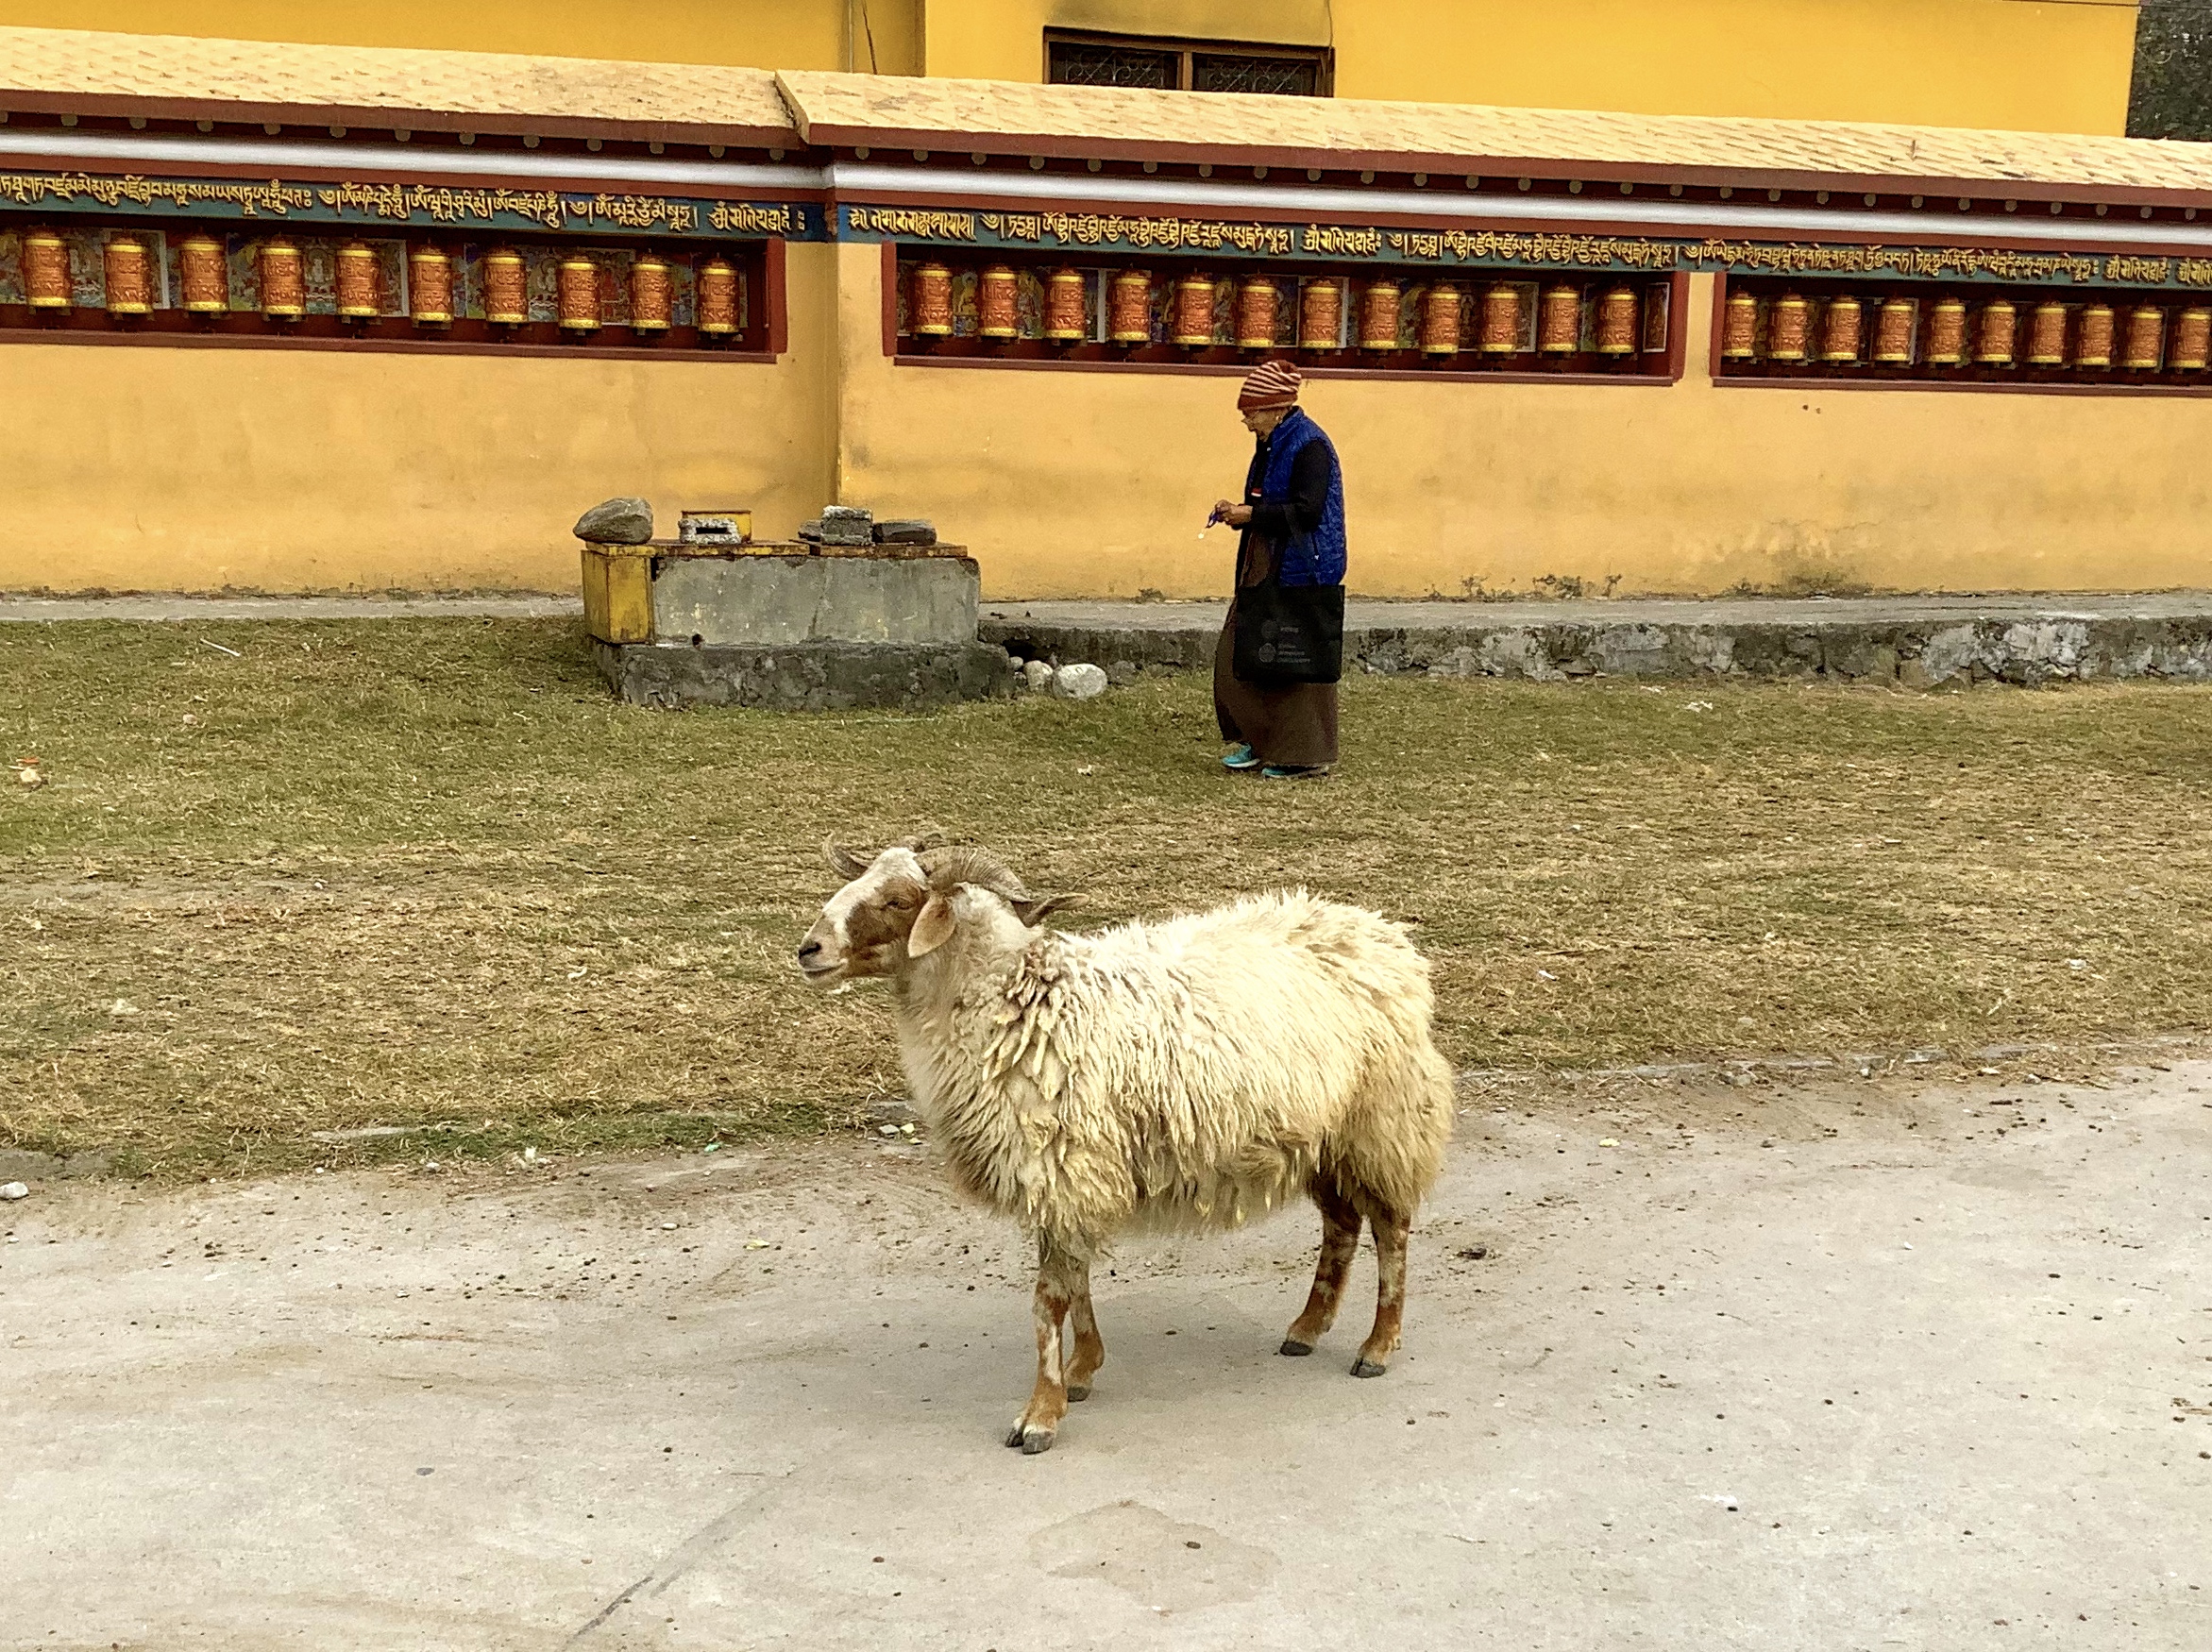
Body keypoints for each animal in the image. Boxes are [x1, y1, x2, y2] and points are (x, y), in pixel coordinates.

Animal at [796, 834, 1456, 1454]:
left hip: (1382, 1121)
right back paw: (1307, 1329)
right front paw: (1081, 1370)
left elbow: (1048, 1299)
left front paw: (1040, 1415)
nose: (809, 950)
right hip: (1322, 1136)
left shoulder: (1063, 1164)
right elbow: (1074, 1282)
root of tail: (1383, 934)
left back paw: (1377, 1347)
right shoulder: (1068, 1172)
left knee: (1391, 1229)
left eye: (899, 900)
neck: (1014, 999)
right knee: (1341, 1225)